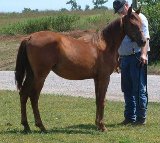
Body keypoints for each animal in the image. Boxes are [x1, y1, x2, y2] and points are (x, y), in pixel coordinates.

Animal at [15, 6, 146, 132]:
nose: (143, 41)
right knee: (34, 97)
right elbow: (102, 100)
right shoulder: (104, 78)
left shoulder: (96, 79)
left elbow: (97, 100)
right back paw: (41, 126)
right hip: (40, 76)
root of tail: (29, 37)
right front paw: (102, 126)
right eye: (133, 24)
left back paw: (26, 126)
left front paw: (97, 124)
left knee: (23, 94)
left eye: (141, 23)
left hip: (31, 75)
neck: (104, 45)